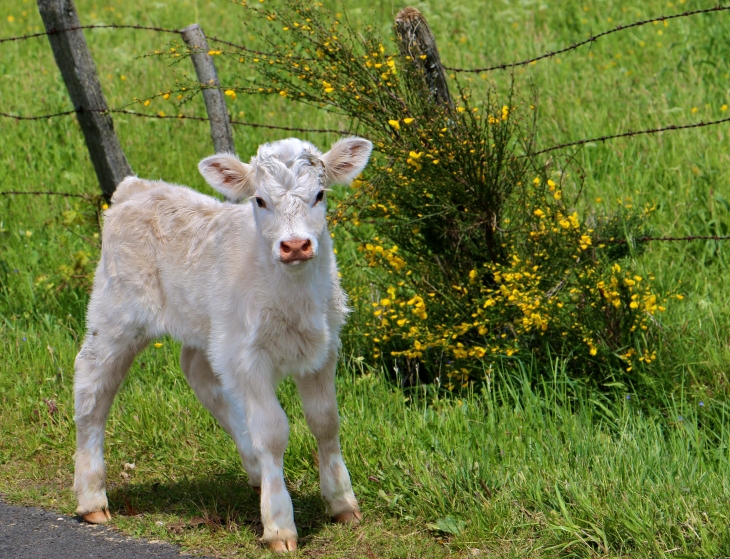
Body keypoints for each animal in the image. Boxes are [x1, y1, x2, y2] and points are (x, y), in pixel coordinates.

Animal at [73, 137, 372, 552]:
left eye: (320, 194)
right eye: (260, 200)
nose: (295, 245)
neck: (291, 297)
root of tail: (136, 189)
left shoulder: (322, 349)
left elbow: (326, 421)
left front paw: (342, 502)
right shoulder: (248, 357)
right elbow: (273, 430)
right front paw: (279, 524)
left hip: (209, 328)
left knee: (199, 373)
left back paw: (255, 469)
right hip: (116, 314)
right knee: (92, 386)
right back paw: (91, 498)